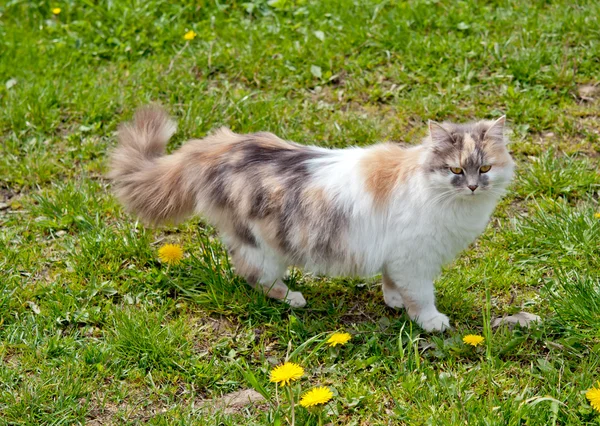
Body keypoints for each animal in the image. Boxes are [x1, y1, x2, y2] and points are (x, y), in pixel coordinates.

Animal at [108, 106, 510, 332]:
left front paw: (394, 301)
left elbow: (391, 282)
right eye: (456, 170)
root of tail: (219, 146)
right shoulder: (414, 258)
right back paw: (292, 298)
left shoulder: (397, 256)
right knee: (254, 278)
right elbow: (423, 295)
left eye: (485, 168)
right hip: (263, 248)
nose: (473, 186)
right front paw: (430, 321)